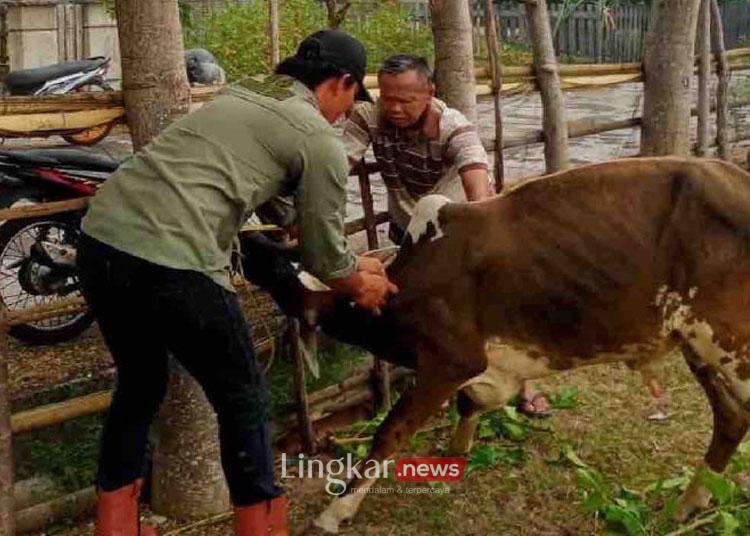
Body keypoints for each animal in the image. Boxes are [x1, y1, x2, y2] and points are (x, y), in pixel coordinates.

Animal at [248, 155, 750, 532]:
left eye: (282, 274)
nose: (251, 243)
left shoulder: (450, 359)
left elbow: (390, 432)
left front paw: (334, 512)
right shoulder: (487, 367)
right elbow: (469, 404)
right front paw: (456, 451)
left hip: (728, 342)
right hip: (695, 343)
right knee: (731, 417)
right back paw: (689, 501)